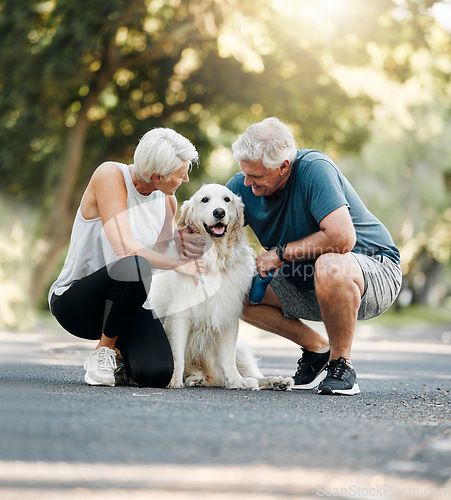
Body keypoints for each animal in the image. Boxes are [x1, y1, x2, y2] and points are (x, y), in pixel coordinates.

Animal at [150, 184, 294, 390]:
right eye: (205, 200)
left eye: (227, 199)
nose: (219, 212)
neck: (215, 258)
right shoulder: (180, 314)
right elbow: (177, 354)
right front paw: (173, 380)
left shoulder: (227, 314)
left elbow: (228, 359)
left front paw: (237, 381)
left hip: (240, 350)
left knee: (246, 374)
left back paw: (276, 381)